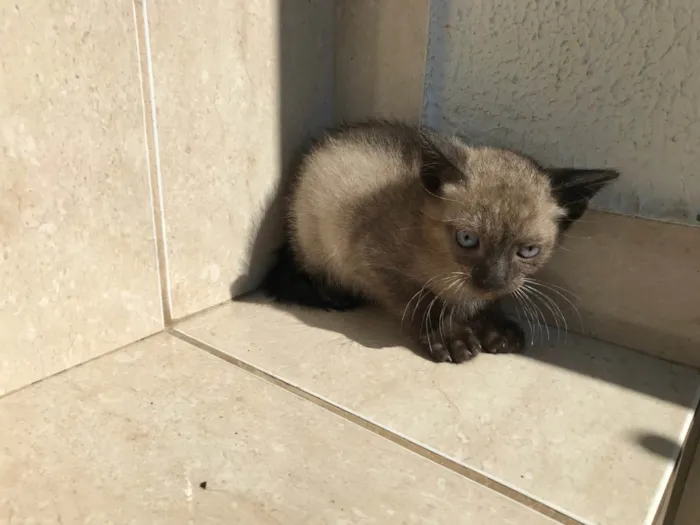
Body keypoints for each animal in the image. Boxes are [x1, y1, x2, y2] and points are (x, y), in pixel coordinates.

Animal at [262, 120, 616, 362]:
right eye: (467, 239)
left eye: (528, 251)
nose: (492, 279)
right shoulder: (374, 260)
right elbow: (422, 300)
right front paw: (449, 336)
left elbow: (488, 301)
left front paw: (494, 325)